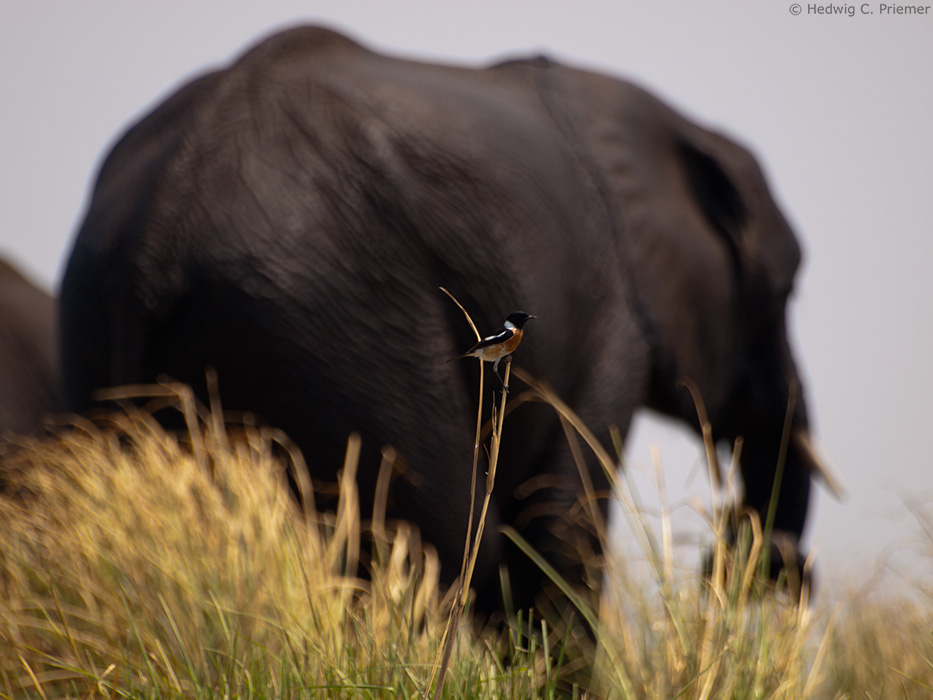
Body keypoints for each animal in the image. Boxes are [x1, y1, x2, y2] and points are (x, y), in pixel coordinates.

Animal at [58, 26, 832, 616]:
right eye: (785, 289)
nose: (745, 562)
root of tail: (159, 221)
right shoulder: (618, 310)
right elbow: (561, 528)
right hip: (340, 327)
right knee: (442, 545)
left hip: (105, 318)